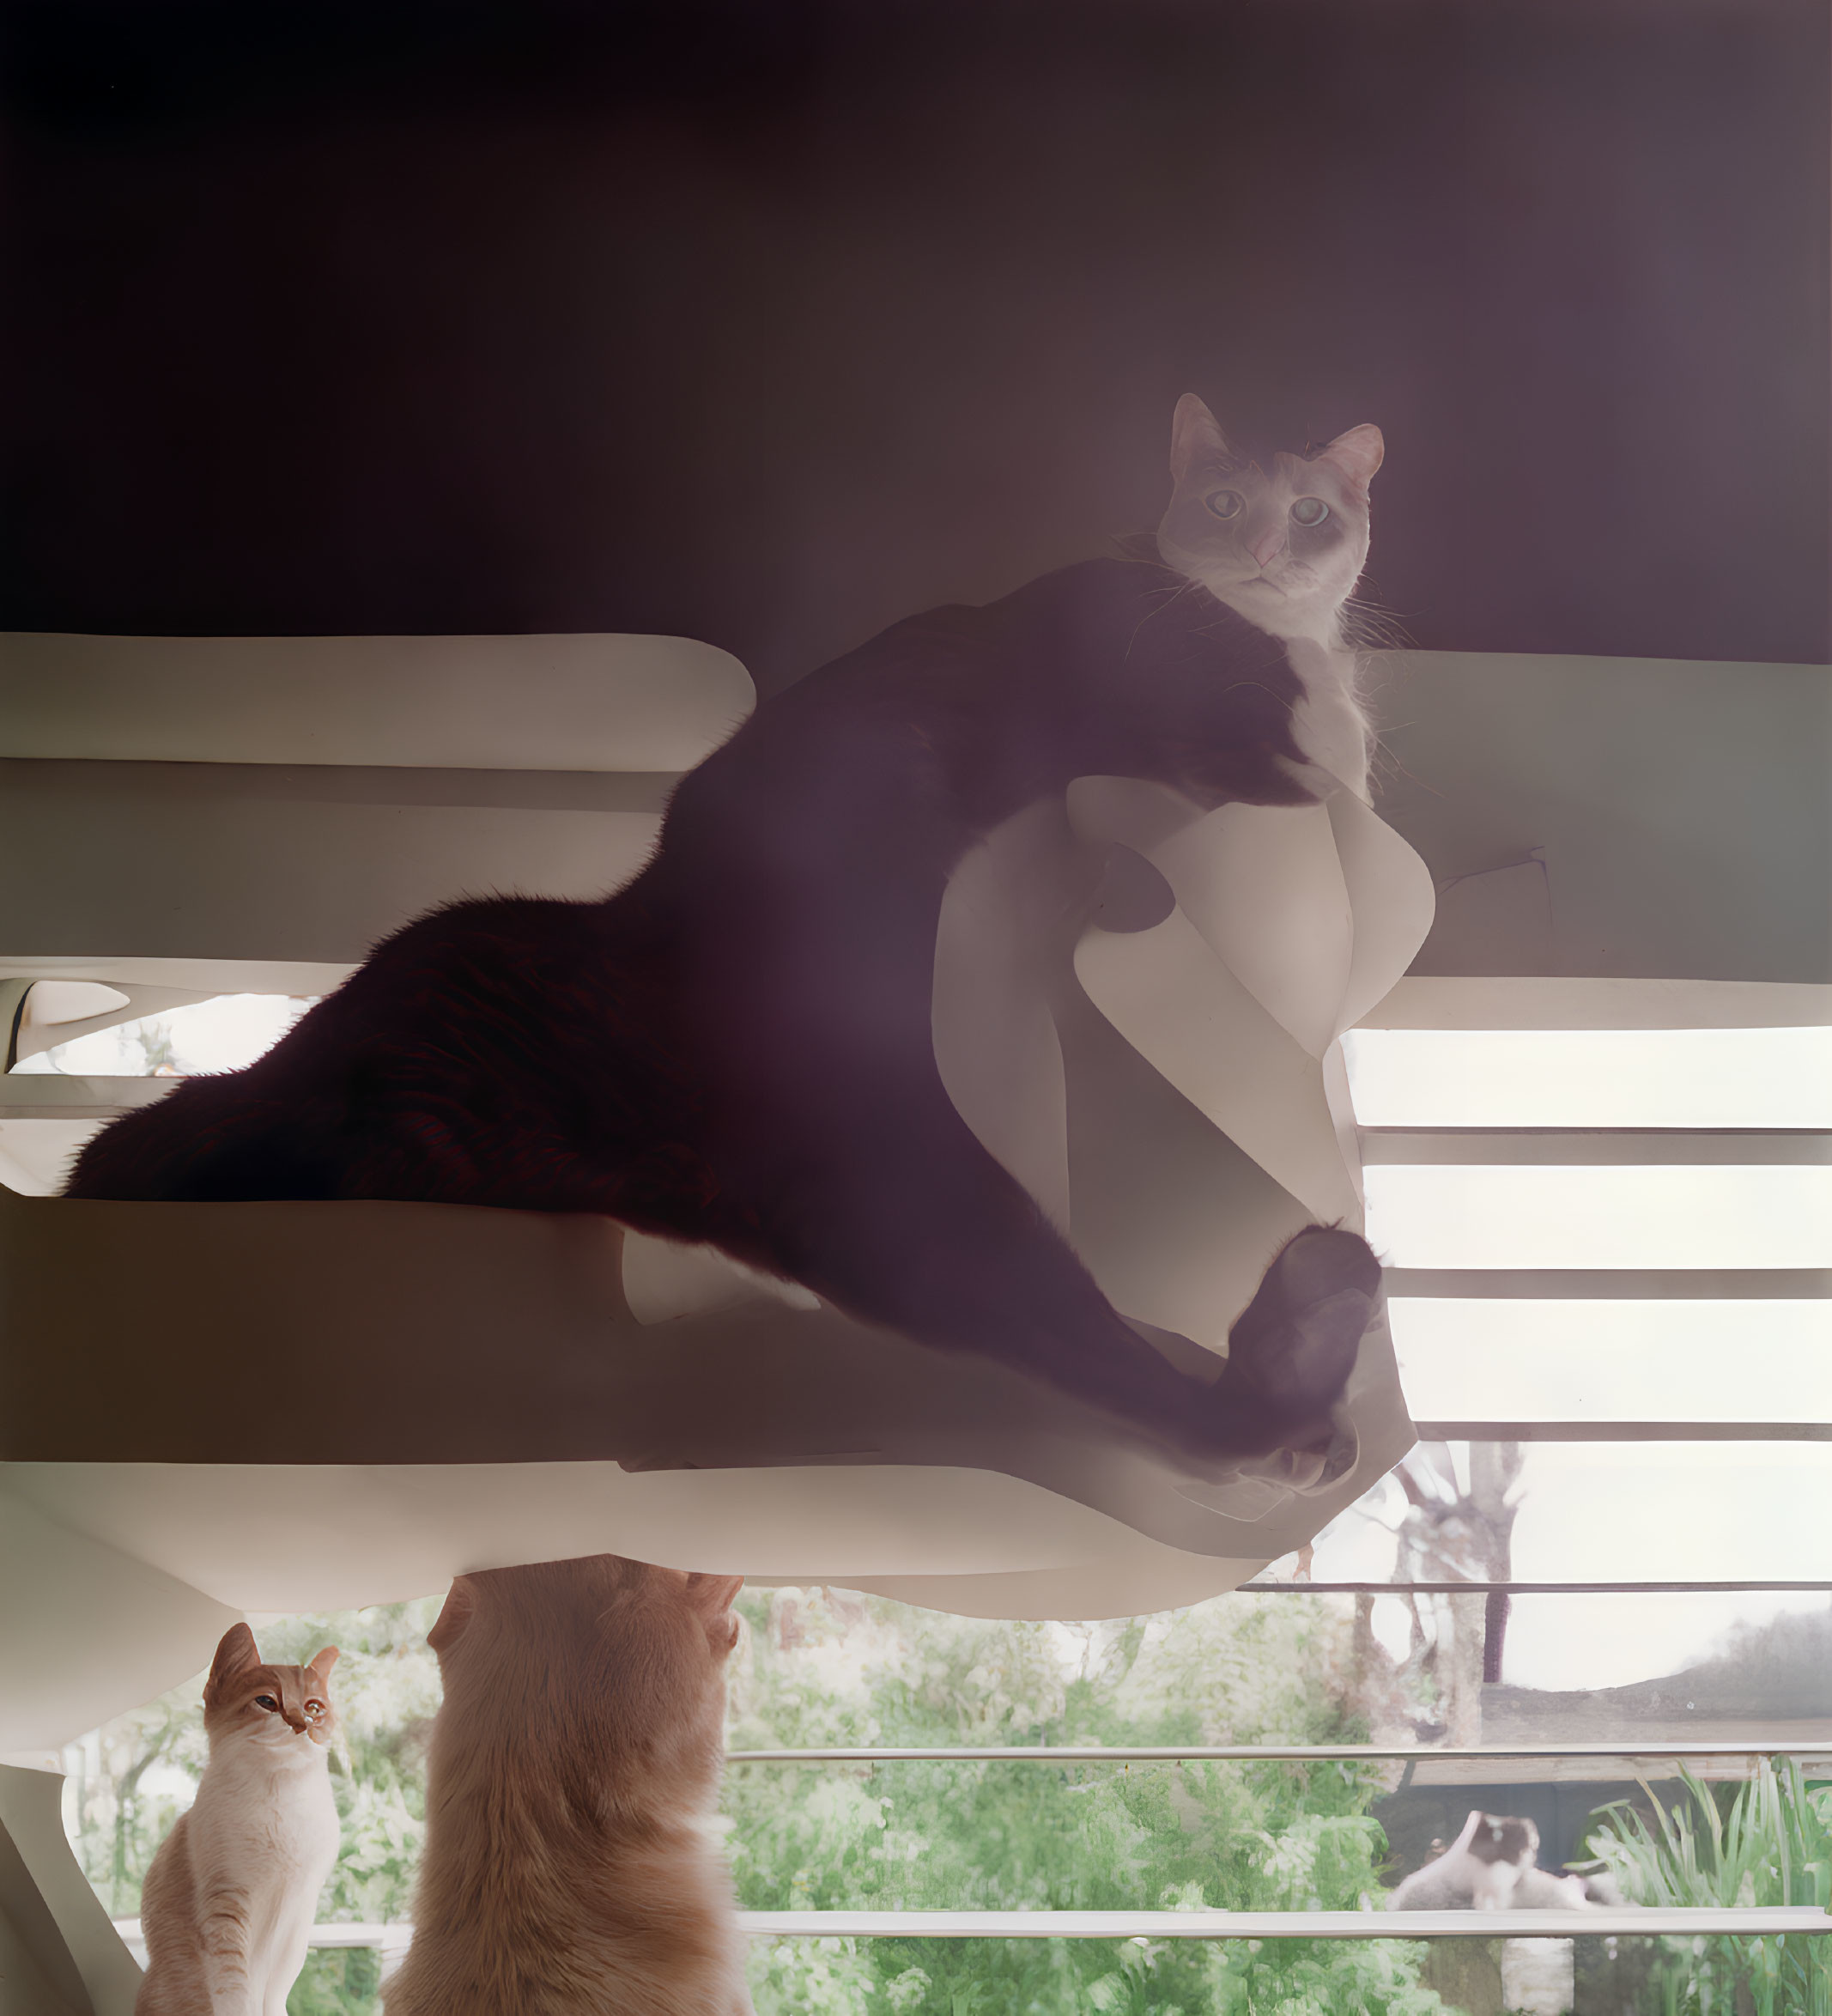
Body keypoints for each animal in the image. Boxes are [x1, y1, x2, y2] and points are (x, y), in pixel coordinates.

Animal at [136, 1620, 338, 2016]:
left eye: (314, 1706)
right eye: (267, 1702)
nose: (303, 1723)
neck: (280, 1799)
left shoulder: (299, 1912)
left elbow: (278, 1987)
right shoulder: (226, 1905)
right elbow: (234, 1988)